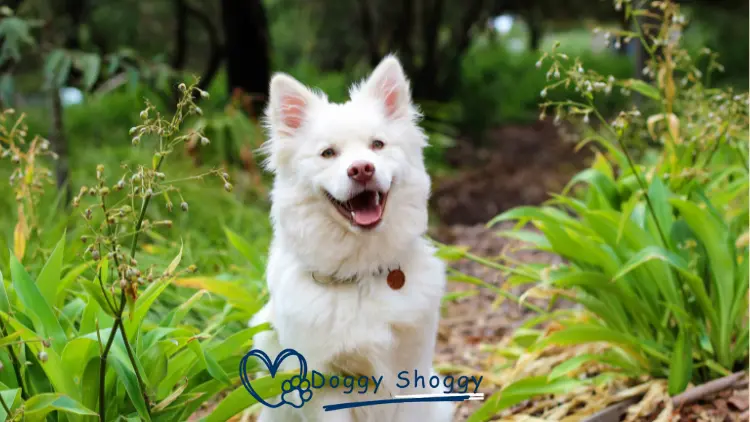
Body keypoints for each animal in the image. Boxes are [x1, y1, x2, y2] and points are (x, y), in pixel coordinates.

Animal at [250, 55, 456, 422]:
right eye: (328, 153)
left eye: (377, 145)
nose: (361, 169)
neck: (361, 274)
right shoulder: (322, 386)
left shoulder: (411, 376)